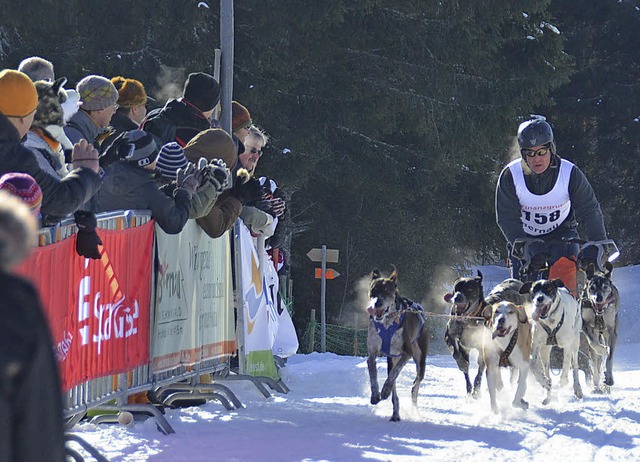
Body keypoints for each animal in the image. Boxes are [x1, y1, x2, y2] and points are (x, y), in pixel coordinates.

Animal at [364, 268, 430, 422]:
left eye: (387, 291)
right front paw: (375, 394)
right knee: (394, 384)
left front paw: (385, 390)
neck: (387, 322)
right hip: (392, 358)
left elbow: (394, 373)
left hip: (420, 360)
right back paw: (395, 413)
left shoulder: (407, 352)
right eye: (373, 290)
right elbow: (373, 373)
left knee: (415, 385)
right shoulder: (372, 353)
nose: (377, 304)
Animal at [580, 262, 620, 392]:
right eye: (592, 287)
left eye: (605, 286)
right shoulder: (586, 325)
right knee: (595, 360)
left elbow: (610, 358)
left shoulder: (612, 331)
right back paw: (597, 385)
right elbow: (595, 345)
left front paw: (610, 378)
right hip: (596, 333)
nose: (599, 298)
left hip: (606, 333)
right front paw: (602, 350)